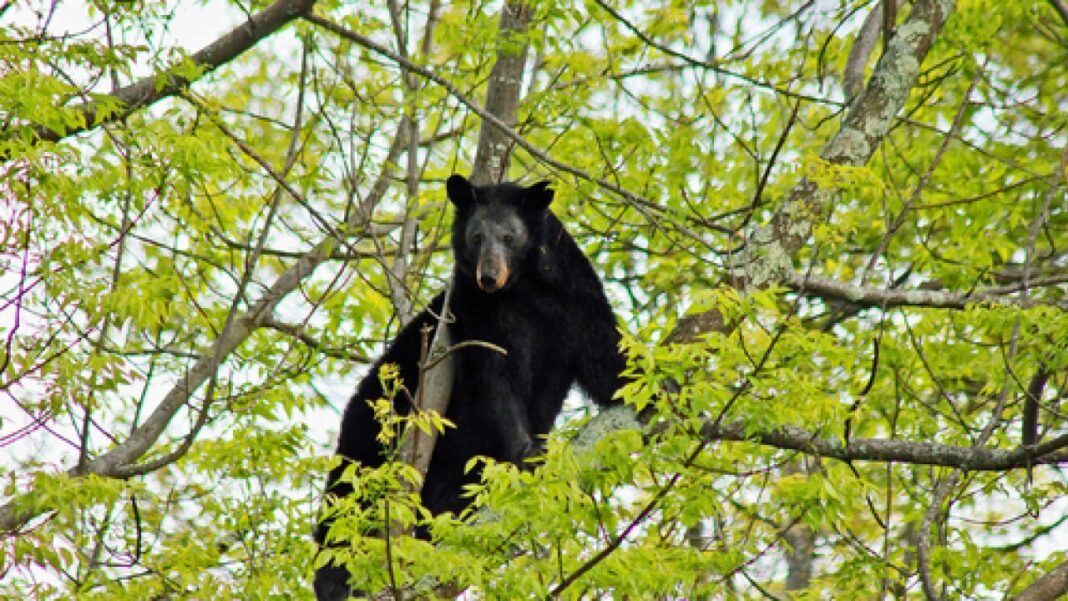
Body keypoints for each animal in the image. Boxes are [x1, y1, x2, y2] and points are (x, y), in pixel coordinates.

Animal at [311, 172, 623, 597]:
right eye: (476, 237)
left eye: (509, 236)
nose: (488, 277)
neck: (521, 288)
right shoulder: (473, 313)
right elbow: (494, 379)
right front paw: (526, 451)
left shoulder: (573, 295)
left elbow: (603, 352)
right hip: (374, 422)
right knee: (348, 497)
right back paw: (334, 580)